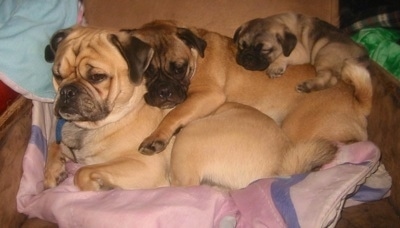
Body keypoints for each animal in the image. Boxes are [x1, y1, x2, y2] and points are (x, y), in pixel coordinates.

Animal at [43, 25, 338, 191]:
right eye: (57, 75)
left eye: (97, 77)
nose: (68, 91)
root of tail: (282, 165)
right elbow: (53, 146)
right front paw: (52, 172)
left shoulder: (143, 166)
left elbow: (83, 173)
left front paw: (97, 183)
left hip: (189, 137)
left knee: (181, 188)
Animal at [130, 20, 374, 155]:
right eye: (147, 72)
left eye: (179, 69)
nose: (164, 91)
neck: (196, 57)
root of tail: (357, 101)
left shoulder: (207, 95)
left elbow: (173, 114)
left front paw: (156, 137)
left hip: (297, 127)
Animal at [233, 12, 370, 92]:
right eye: (241, 46)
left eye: (264, 50)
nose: (248, 57)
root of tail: (362, 55)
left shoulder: (299, 52)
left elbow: (283, 56)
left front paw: (275, 67)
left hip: (325, 53)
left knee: (329, 77)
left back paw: (307, 85)